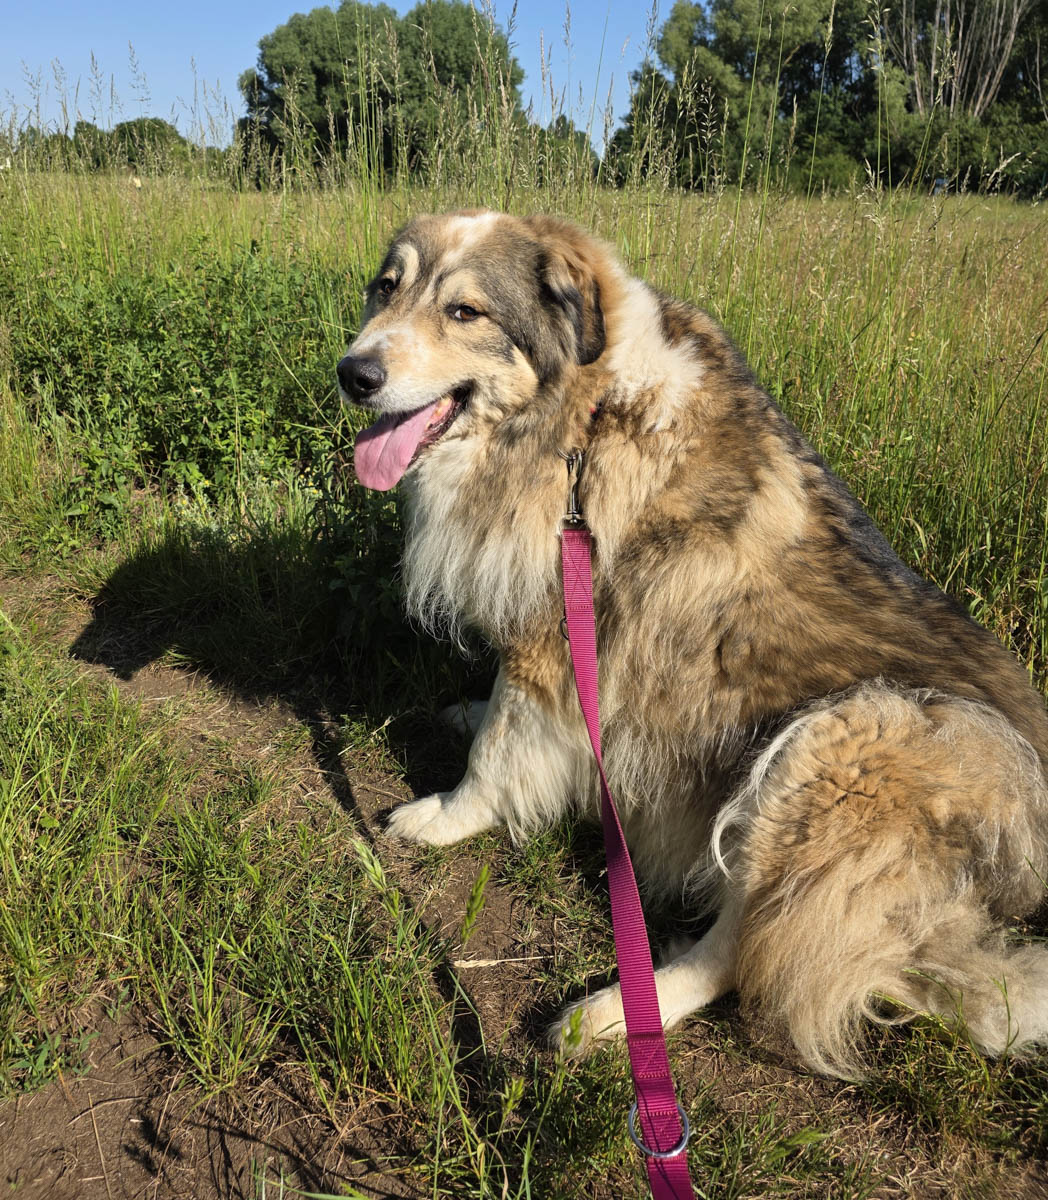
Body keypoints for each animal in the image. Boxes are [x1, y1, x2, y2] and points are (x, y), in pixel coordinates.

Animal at [338, 210, 1048, 1077]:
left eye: (465, 311)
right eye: (386, 286)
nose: (353, 373)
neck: (584, 415)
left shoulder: (559, 630)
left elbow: (498, 749)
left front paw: (443, 815)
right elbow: (501, 718)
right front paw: (467, 714)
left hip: (845, 743)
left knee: (744, 950)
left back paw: (611, 1015)